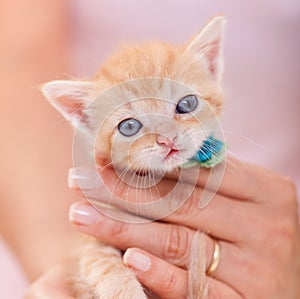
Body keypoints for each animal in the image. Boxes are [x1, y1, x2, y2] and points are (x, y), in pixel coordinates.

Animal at [41, 15, 225, 299]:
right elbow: (101, 262)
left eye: (187, 104)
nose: (167, 139)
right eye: (129, 127)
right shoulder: (91, 239)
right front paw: (125, 288)